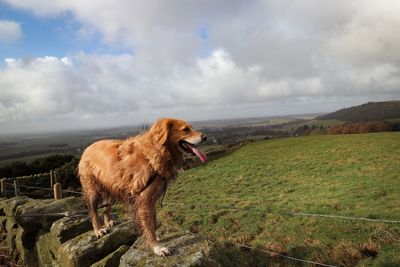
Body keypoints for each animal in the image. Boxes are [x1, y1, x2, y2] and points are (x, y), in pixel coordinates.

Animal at [79, 119, 208, 258]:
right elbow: (149, 225)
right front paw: (157, 247)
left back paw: (108, 221)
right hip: (92, 189)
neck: (154, 153)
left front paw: (156, 239)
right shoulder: (144, 201)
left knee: (106, 206)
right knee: (93, 210)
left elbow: (153, 222)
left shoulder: (151, 199)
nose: (205, 137)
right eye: (185, 129)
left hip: (113, 187)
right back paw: (98, 230)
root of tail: (87, 148)